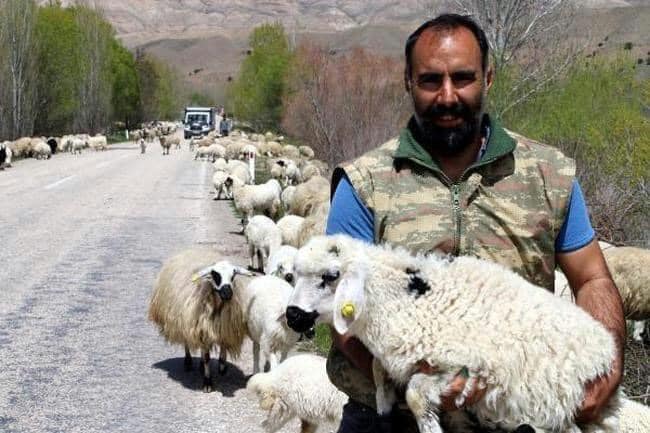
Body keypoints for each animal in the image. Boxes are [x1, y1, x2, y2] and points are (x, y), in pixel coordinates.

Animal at [149, 246, 251, 392]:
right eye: (215, 275)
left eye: (233, 275)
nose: (227, 293)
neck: (217, 306)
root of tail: (192, 250)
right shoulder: (201, 328)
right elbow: (208, 358)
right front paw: (207, 382)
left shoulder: (223, 327)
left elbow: (223, 347)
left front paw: (222, 366)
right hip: (185, 321)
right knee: (187, 342)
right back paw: (188, 362)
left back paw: (202, 365)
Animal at [286, 233, 620, 432]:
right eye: (295, 274)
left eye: (331, 276)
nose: (293, 315)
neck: (401, 299)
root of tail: (606, 347)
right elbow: (379, 368)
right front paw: (383, 401)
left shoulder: (463, 368)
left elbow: (416, 393)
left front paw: (429, 426)